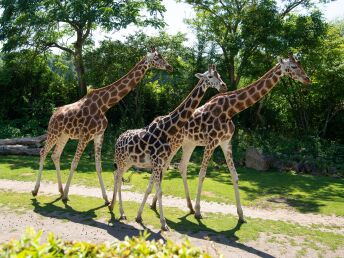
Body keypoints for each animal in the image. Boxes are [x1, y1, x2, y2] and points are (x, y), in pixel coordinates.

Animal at [31, 47, 172, 204]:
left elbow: (98, 166)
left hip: (64, 136)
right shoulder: (85, 136)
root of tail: (53, 115)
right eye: (158, 57)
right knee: (43, 152)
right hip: (53, 133)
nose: (170, 67)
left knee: (55, 156)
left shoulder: (99, 135)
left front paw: (106, 198)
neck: (104, 105)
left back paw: (60, 190)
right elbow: (74, 163)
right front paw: (67, 195)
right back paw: (36, 190)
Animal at [110, 64, 228, 230]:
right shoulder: (157, 162)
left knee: (116, 176)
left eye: (220, 75)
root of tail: (117, 140)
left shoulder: (160, 163)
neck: (167, 128)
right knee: (118, 178)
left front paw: (142, 217)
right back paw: (120, 212)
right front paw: (163, 224)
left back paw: (113, 207)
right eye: (210, 76)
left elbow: (155, 189)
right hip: (122, 161)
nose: (224, 86)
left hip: (128, 162)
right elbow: (159, 191)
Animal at [150, 52, 312, 220]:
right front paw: (200, 211)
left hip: (189, 144)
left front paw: (241, 215)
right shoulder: (212, 142)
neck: (230, 110)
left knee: (180, 166)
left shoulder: (226, 142)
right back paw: (158, 204)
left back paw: (185, 206)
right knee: (164, 167)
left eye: (300, 64)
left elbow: (235, 176)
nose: (308, 79)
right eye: (293, 66)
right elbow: (202, 174)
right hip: (174, 143)